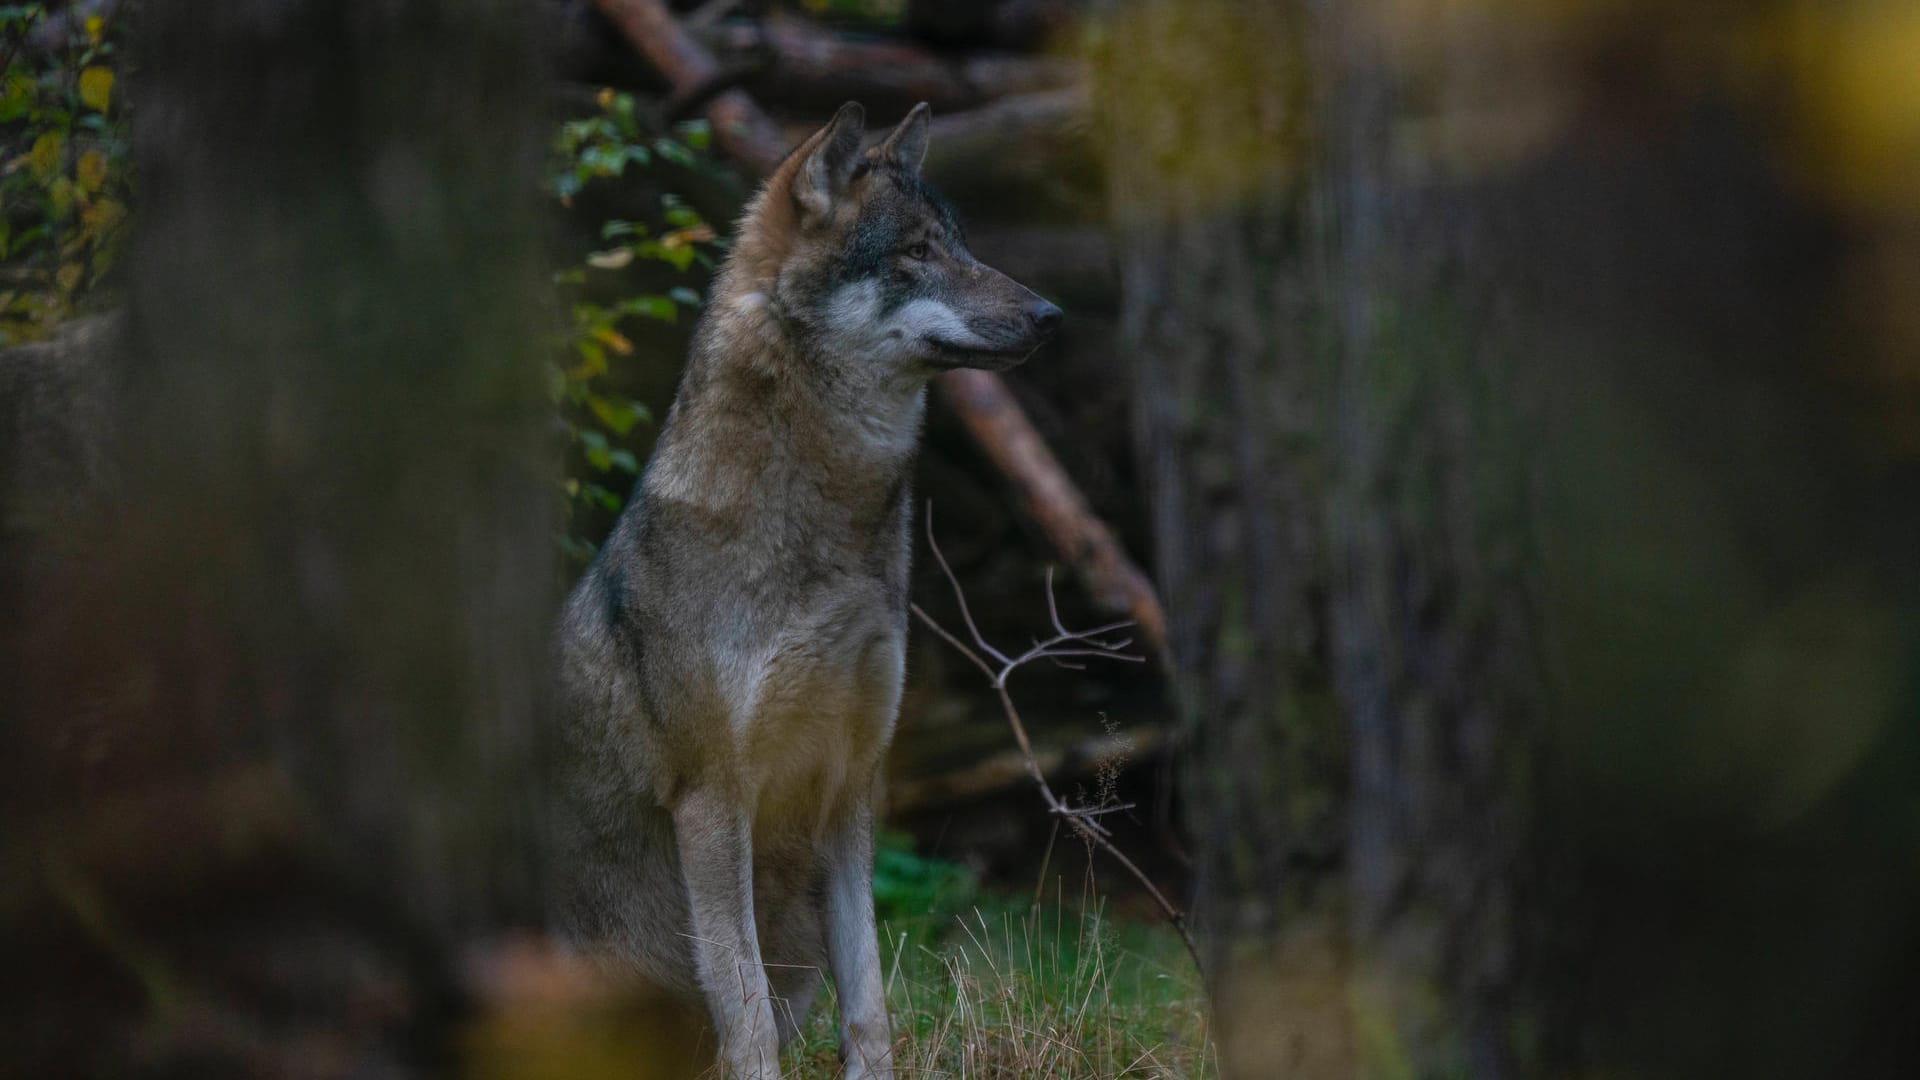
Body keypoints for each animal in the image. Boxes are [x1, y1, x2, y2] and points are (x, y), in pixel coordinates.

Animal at [552, 102, 1067, 1076]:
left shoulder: (851, 786)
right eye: (914, 252)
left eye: (960, 244)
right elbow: (745, 1009)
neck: (834, 539)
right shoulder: (713, 798)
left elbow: (868, 1005)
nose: (1054, 313)